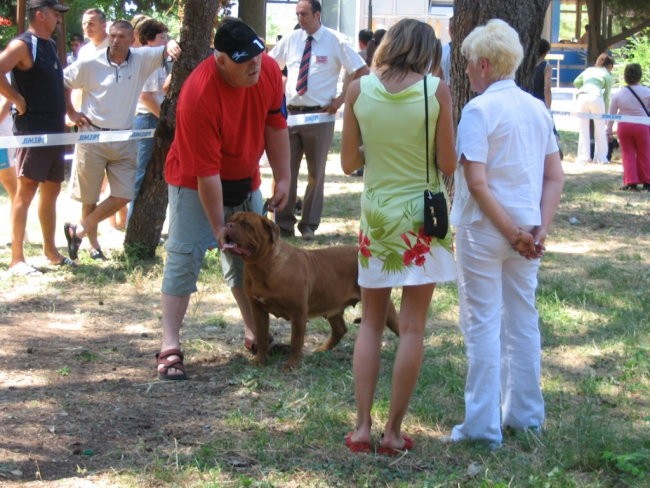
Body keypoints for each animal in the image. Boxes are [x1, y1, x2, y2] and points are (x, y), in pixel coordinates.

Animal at [223, 212, 398, 368]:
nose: (228, 225)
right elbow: (261, 337)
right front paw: (260, 360)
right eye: (230, 220)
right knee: (340, 329)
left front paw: (291, 365)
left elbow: (295, 341)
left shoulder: (298, 313)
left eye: (246, 224)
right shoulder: (258, 311)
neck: (262, 266)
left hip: (384, 308)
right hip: (332, 304)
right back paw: (321, 350)